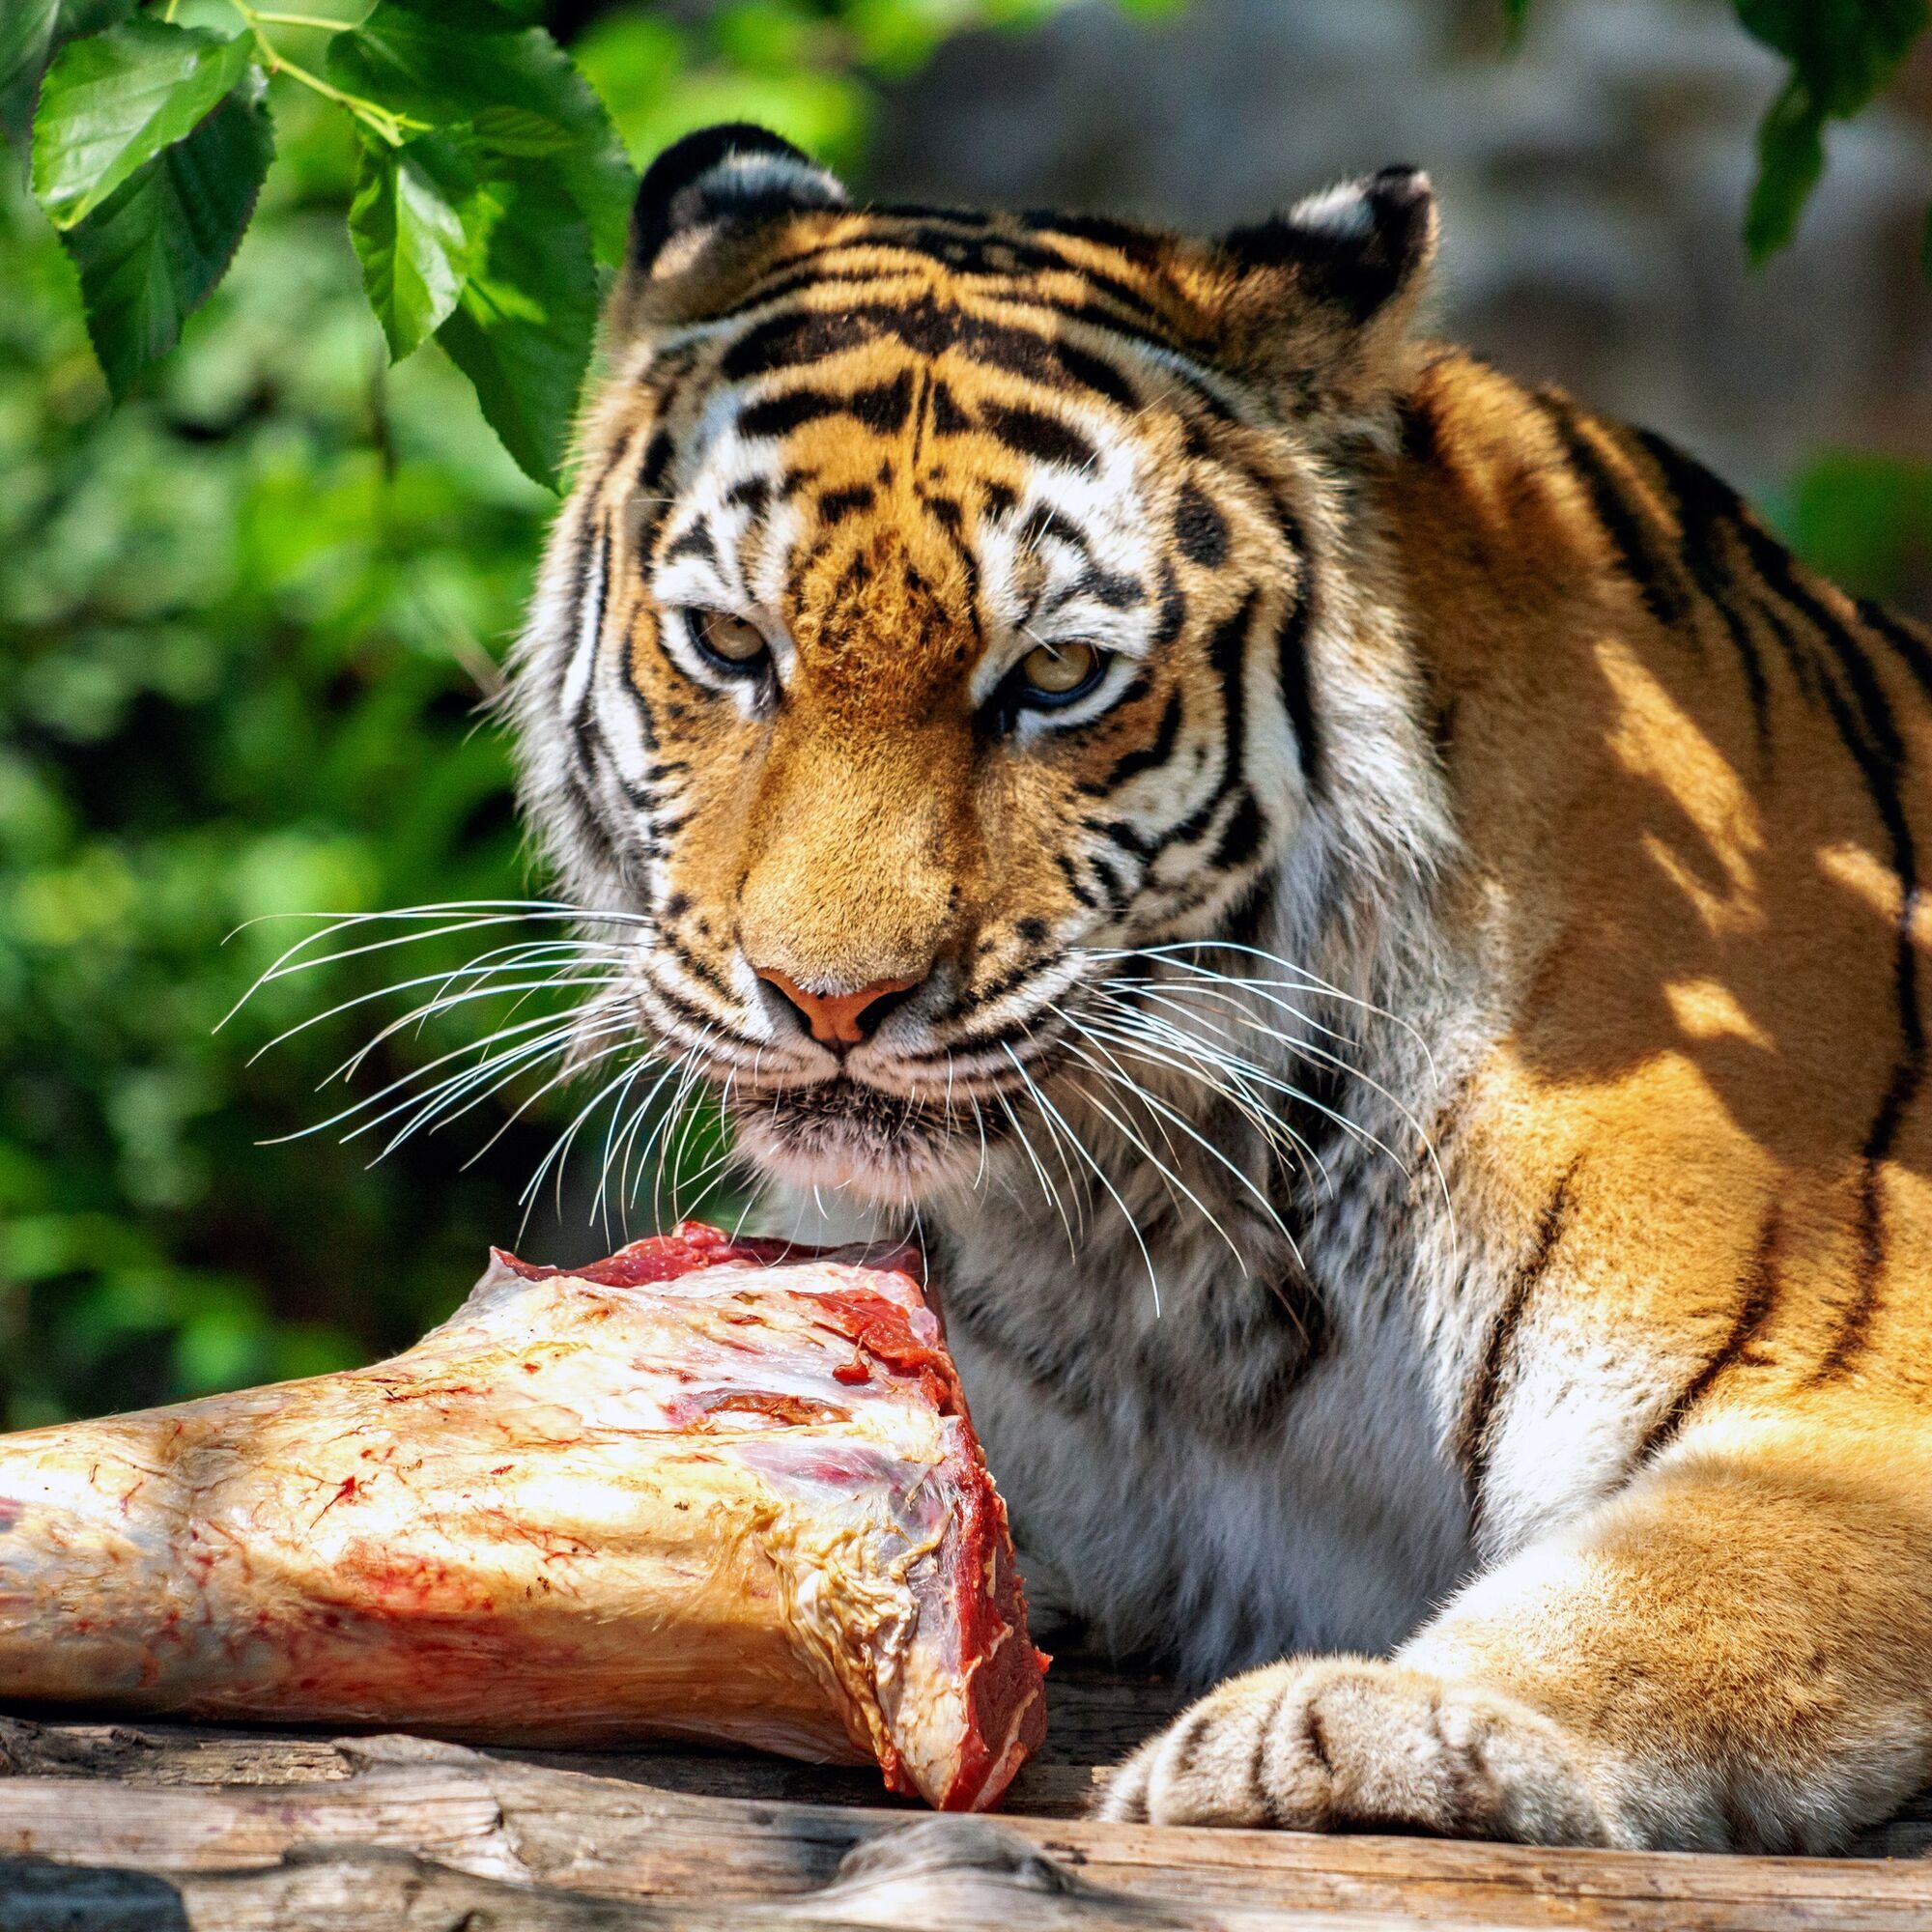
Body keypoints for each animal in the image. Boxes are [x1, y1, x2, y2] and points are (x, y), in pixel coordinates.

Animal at [506, 125, 1932, 1855]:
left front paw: (1348, 1736)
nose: (830, 1001)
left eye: (1057, 676)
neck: (1151, 1234)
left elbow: (1678, 1589)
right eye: (728, 643)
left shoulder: (1859, 1395)